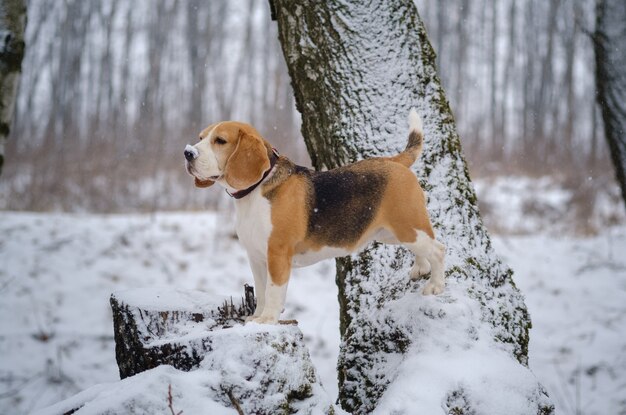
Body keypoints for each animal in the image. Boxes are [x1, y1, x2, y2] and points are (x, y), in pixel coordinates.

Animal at [184, 109, 444, 324]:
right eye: (200, 137)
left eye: (220, 141)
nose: (188, 153)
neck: (257, 188)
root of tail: (395, 162)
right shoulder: (256, 257)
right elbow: (260, 290)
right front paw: (256, 316)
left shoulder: (277, 254)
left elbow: (273, 291)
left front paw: (267, 319)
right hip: (392, 233)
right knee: (423, 249)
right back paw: (420, 268)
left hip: (408, 227)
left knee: (439, 249)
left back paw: (435, 286)